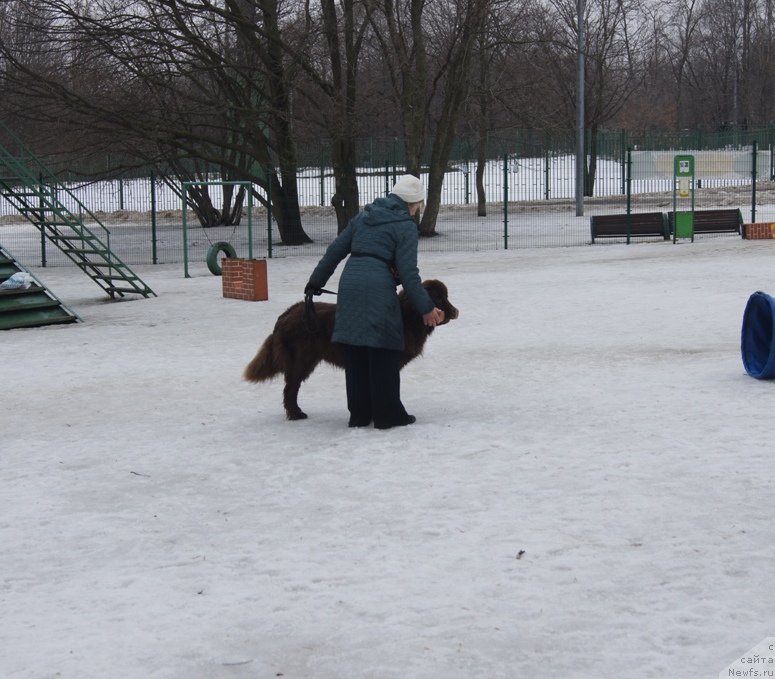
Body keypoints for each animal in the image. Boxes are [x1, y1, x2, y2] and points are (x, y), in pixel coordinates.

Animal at [246, 280, 458, 420]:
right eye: (440, 298)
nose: (456, 311)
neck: (408, 317)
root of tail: (285, 315)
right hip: (301, 360)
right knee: (290, 388)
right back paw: (296, 414)